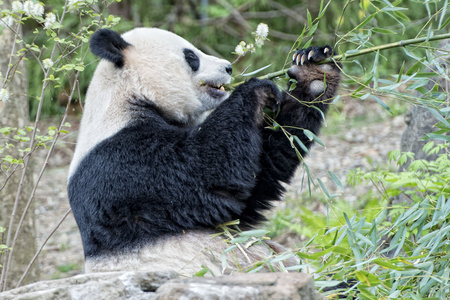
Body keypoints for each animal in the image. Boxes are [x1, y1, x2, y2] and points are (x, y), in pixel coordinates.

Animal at [67, 27, 342, 276]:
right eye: (191, 56)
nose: (228, 68)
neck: (128, 96)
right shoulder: (121, 164)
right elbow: (205, 172)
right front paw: (256, 89)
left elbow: (259, 179)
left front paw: (314, 71)